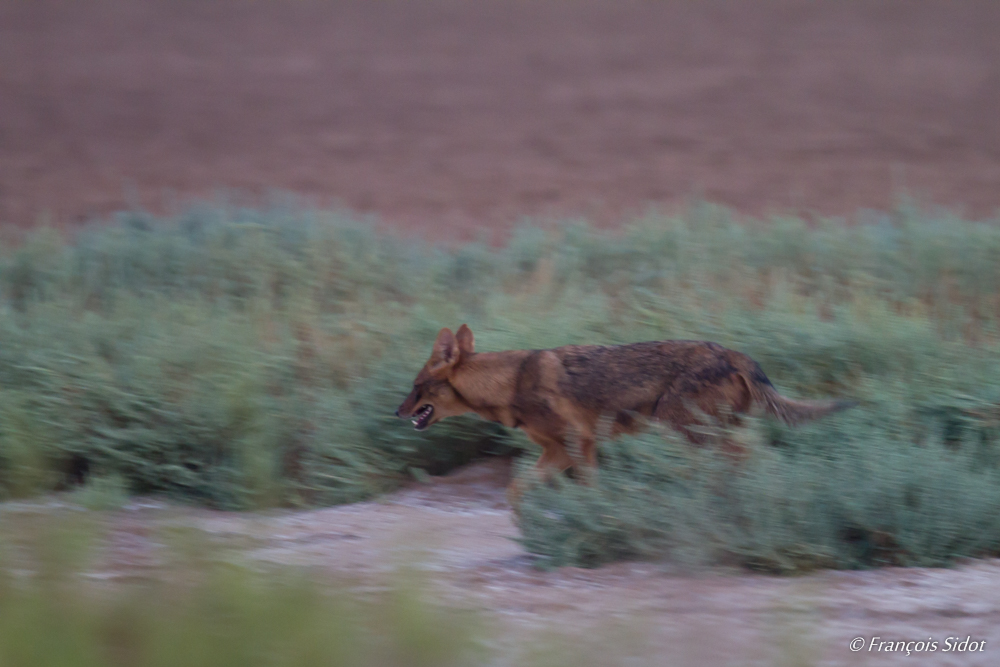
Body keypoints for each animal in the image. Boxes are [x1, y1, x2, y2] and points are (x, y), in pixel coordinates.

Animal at [394, 326, 856, 498]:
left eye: (415, 387)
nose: (396, 413)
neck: (509, 382)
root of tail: (734, 353)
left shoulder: (579, 444)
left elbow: (589, 489)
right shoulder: (558, 452)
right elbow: (516, 491)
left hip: (689, 433)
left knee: (754, 460)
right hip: (702, 435)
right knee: (756, 459)